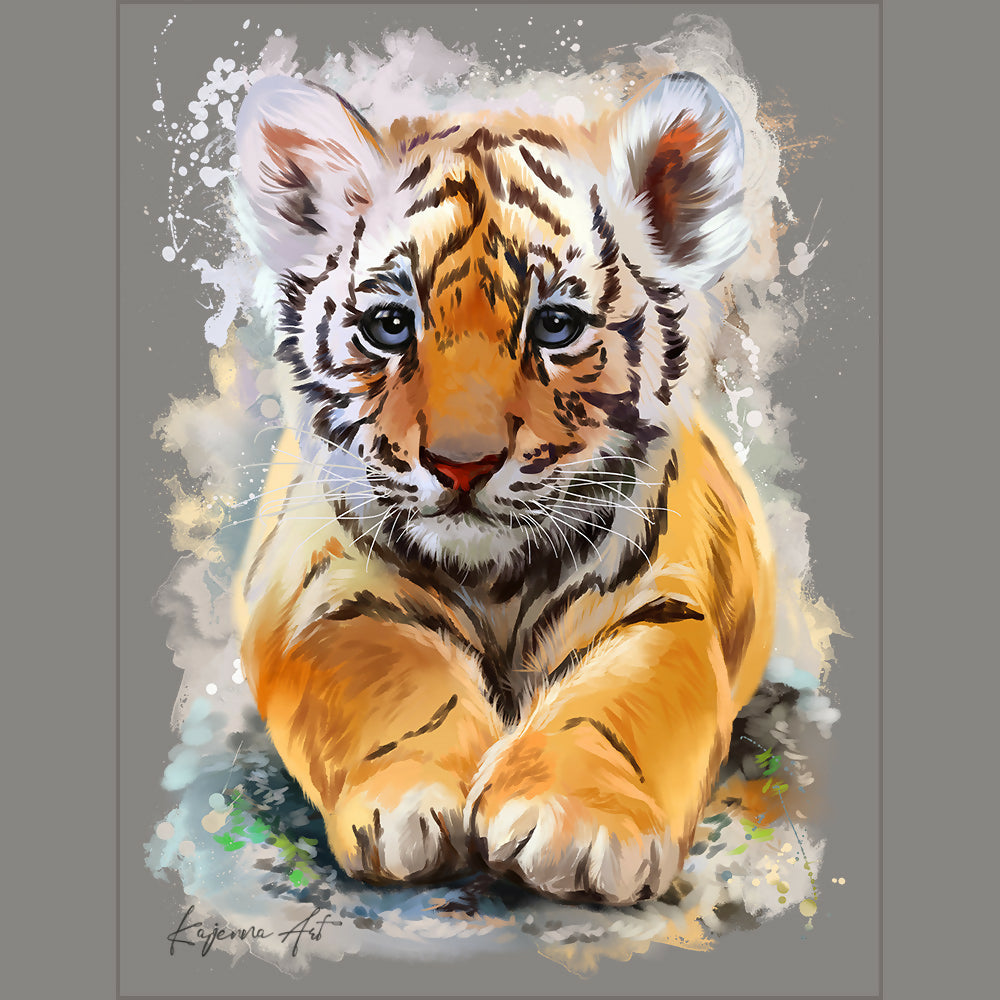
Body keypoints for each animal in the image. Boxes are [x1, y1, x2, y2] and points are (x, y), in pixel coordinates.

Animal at [231, 70, 775, 906]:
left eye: (555, 326)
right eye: (391, 325)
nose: (462, 464)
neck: (496, 581)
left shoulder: (664, 606)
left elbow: (619, 706)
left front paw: (577, 821)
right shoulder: (323, 593)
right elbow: (396, 678)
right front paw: (418, 796)